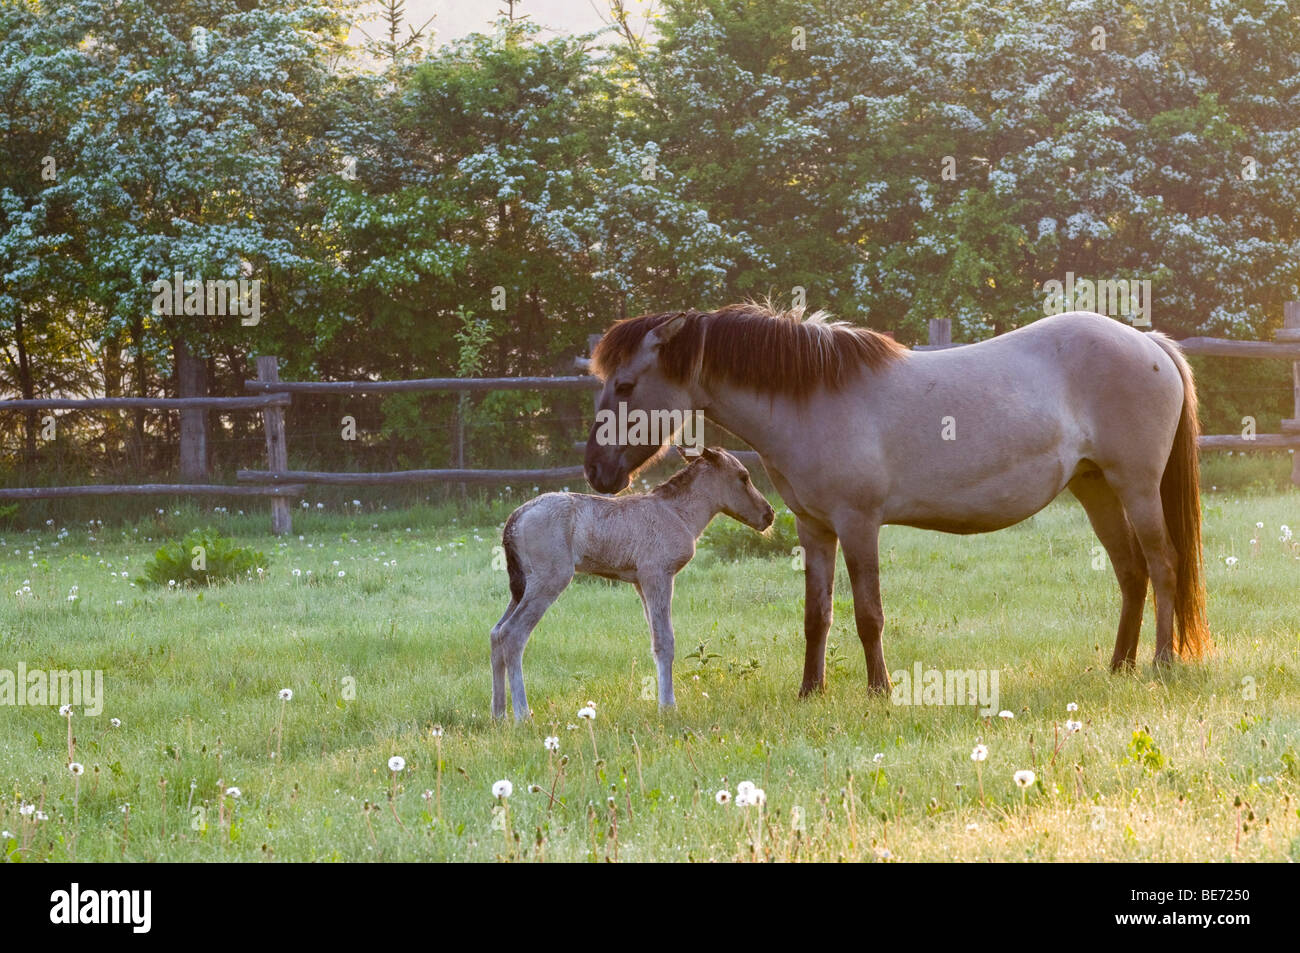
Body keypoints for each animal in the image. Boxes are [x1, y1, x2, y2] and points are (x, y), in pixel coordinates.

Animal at [491, 446, 774, 720]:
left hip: (522, 586)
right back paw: (522, 714)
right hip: (550, 578)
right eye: (743, 477)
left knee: (496, 633)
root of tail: (514, 519)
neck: (679, 514)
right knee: (512, 633)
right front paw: (667, 706)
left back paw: (498, 714)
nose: (769, 514)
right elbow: (665, 641)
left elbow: (654, 640)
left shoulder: (640, 582)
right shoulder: (657, 574)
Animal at [583, 303, 1209, 698]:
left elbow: (868, 614)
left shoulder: (859, 524)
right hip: (1094, 487)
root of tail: (1147, 342)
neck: (811, 400)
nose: (595, 470)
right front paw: (810, 691)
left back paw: (1160, 663)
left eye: (625, 386)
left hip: (1135, 486)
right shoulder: (814, 527)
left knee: (1162, 565)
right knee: (1131, 572)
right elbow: (816, 615)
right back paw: (1118, 667)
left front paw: (878, 691)